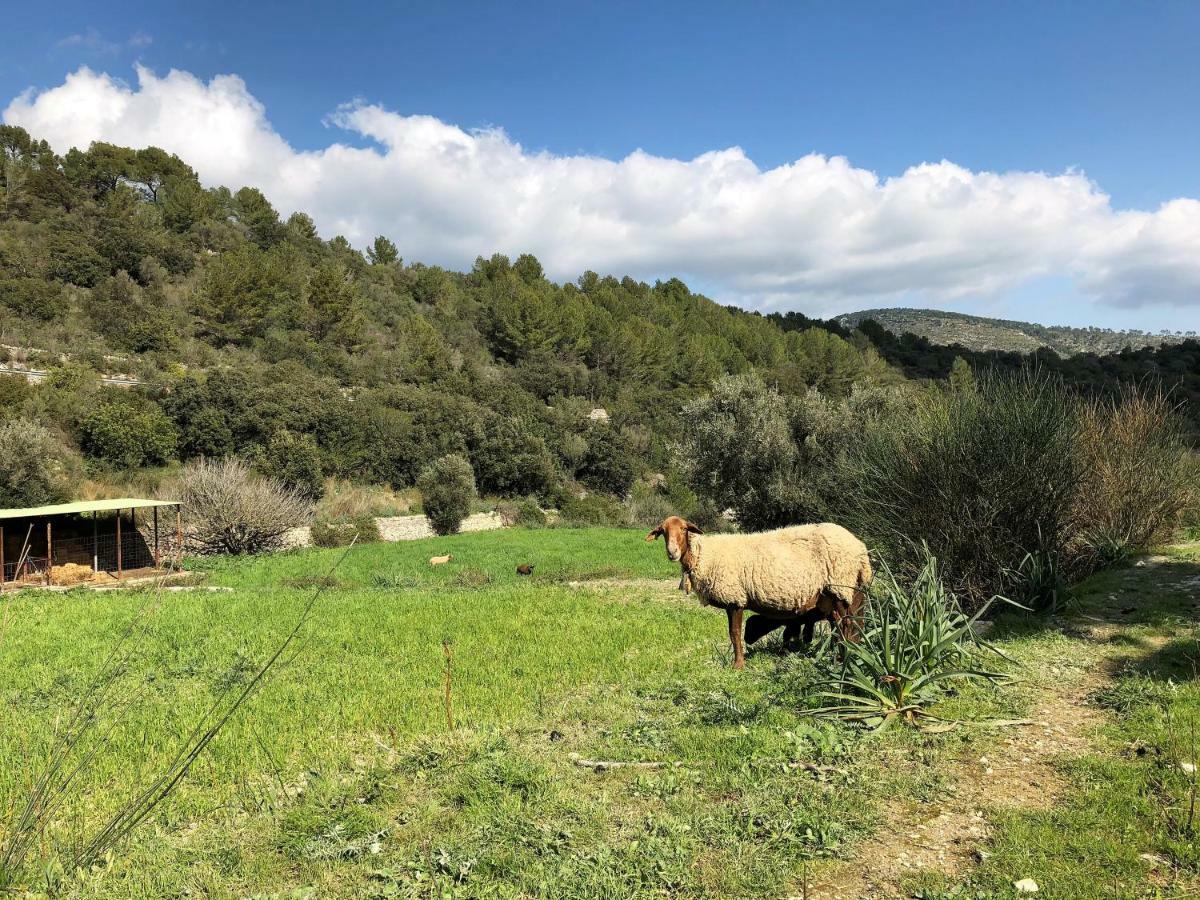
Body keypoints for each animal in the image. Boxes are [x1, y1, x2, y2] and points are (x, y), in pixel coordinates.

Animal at [648, 513, 873, 672]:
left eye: (684, 529)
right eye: (663, 532)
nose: (672, 553)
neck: (704, 555)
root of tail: (860, 548)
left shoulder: (734, 598)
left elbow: (734, 634)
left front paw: (738, 665)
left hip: (841, 586)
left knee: (847, 626)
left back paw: (846, 658)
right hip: (842, 593)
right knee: (849, 624)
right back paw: (849, 654)